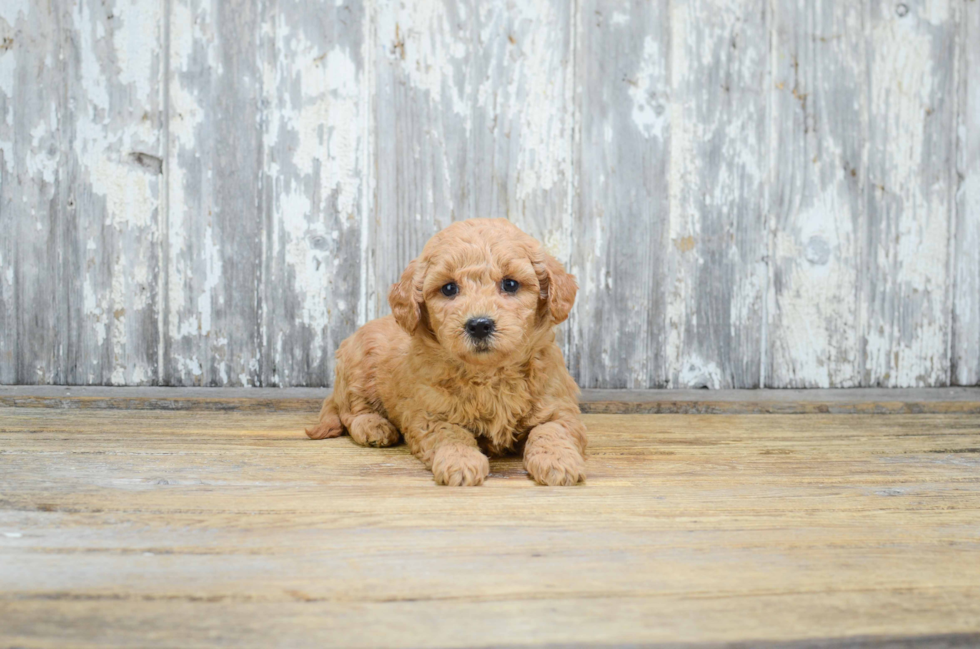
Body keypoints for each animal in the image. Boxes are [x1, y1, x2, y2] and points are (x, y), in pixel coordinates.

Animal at [306, 218, 584, 486]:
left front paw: (558, 461)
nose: (479, 325)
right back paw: (374, 427)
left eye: (510, 284)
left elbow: (550, 430)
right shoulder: (428, 414)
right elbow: (450, 434)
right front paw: (460, 462)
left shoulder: (558, 405)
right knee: (351, 411)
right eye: (449, 288)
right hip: (358, 368)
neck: (488, 374)